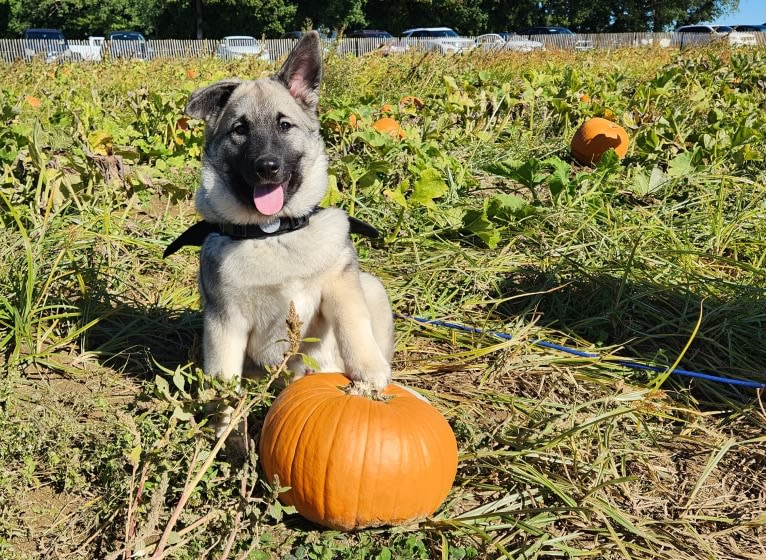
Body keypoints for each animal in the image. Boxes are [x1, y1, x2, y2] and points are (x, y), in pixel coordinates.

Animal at [175, 30, 396, 438]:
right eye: (240, 130)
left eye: (284, 126)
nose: (267, 167)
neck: (272, 232)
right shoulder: (225, 324)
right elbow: (223, 385)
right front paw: (226, 434)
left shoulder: (341, 287)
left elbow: (353, 329)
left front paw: (368, 376)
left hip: (371, 287)